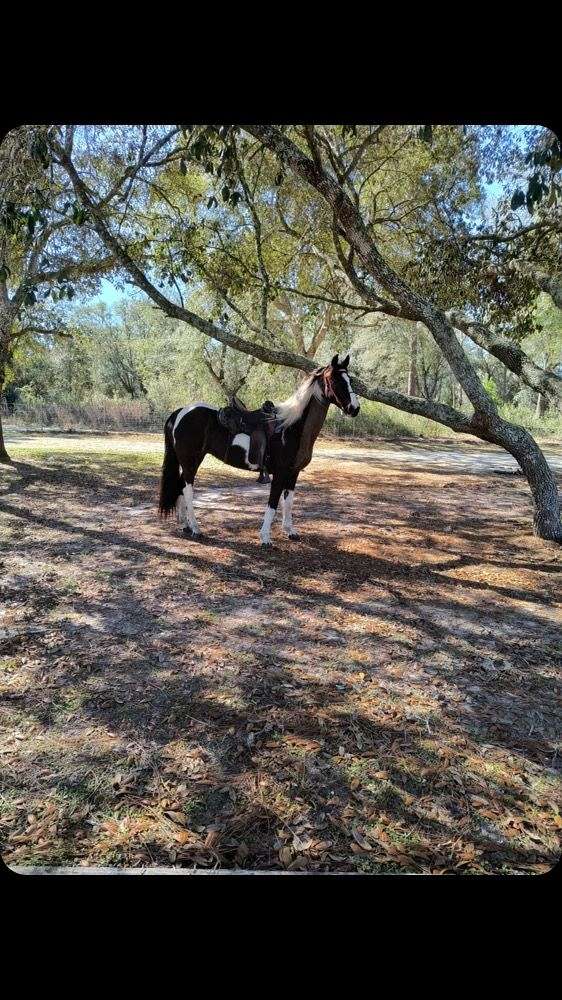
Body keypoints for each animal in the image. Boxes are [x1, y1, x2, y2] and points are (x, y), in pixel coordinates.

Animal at [158, 354, 358, 548]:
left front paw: (290, 531)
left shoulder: (293, 473)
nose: (354, 409)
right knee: (188, 489)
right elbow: (273, 504)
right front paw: (265, 538)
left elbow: (289, 501)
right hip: (190, 461)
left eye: (349, 380)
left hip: (192, 460)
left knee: (181, 486)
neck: (292, 427)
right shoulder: (280, 474)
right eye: (335, 381)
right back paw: (195, 528)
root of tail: (181, 412)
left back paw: (185, 525)